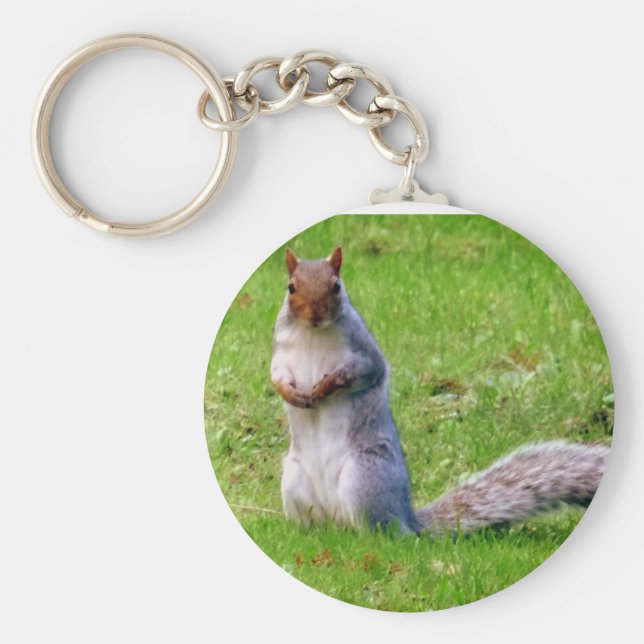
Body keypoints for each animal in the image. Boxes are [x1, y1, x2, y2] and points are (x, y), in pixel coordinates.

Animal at [270, 247, 609, 534]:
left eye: (336, 286)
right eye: (291, 287)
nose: (315, 315)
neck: (313, 333)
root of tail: (407, 520)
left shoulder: (364, 353)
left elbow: (361, 373)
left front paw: (323, 387)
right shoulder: (281, 353)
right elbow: (277, 376)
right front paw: (291, 394)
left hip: (363, 479)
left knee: (379, 533)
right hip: (294, 480)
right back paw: (309, 533)